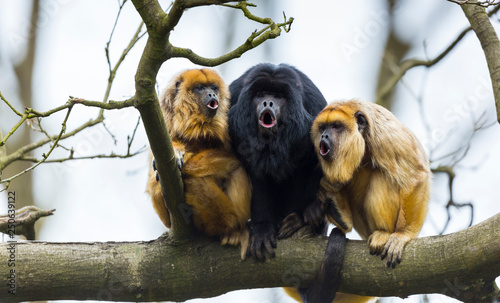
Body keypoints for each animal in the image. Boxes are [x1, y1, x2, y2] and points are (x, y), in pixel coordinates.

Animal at [146, 69, 252, 256]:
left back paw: (230, 226)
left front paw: (187, 164)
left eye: (213, 88)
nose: (212, 94)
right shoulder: (164, 119)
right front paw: (177, 151)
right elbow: (157, 158)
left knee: (237, 168)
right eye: (201, 88)